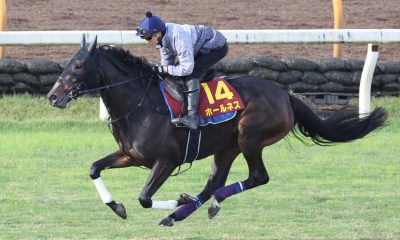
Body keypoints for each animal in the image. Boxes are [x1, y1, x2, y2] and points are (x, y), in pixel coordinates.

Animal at [47, 35, 388, 225]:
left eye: (79, 65)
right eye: (69, 62)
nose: (52, 96)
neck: (140, 104)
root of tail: (286, 95)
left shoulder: (166, 161)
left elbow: (144, 197)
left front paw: (176, 200)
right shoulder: (131, 156)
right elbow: (94, 168)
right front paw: (117, 206)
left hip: (250, 137)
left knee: (257, 177)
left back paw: (190, 208)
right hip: (227, 147)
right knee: (215, 182)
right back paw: (180, 214)